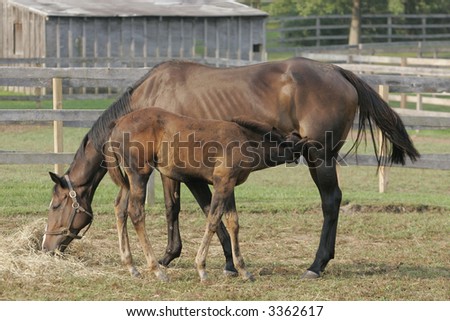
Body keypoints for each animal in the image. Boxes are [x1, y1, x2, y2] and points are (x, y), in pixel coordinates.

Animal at [104, 107, 310, 280]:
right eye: (299, 147)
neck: (244, 140)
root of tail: (117, 123)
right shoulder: (222, 182)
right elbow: (213, 220)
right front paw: (201, 268)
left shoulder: (229, 184)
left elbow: (233, 222)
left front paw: (243, 270)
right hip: (140, 173)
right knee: (136, 212)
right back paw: (157, 270)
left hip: (128, 180)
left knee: (120, 208)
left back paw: (131, 266)